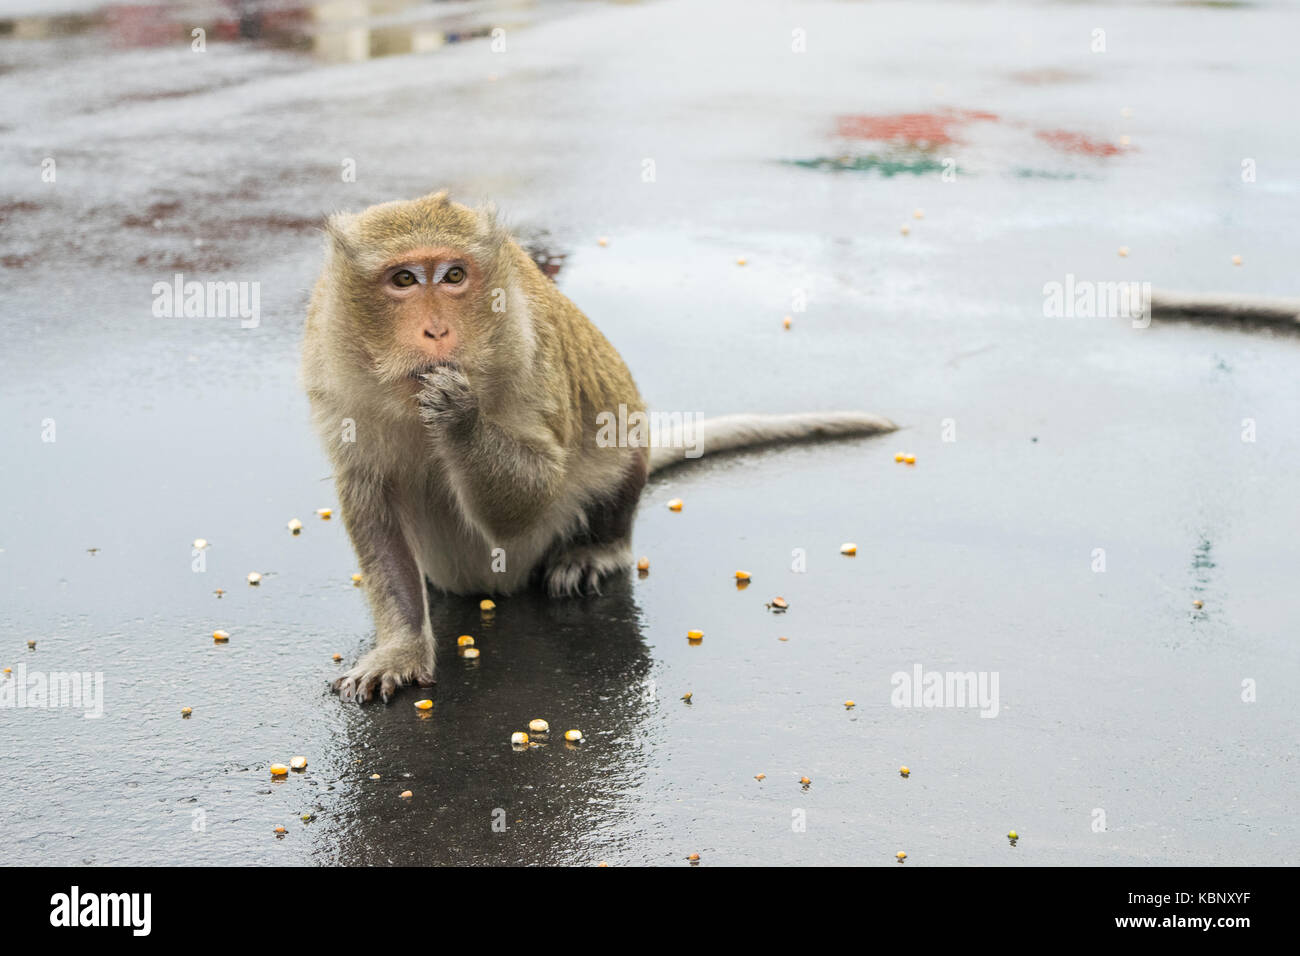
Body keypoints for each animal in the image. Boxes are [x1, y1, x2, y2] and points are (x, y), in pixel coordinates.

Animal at [302, 190, 895, 703]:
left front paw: (461, 417)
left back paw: (595, 550)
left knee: (614, 447)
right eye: (404, 279)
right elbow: (372, 500)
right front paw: (399, 650)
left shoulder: (526, 349)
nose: (436, 331)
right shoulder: (332, 372)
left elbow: (531, 499)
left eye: (453, 276)